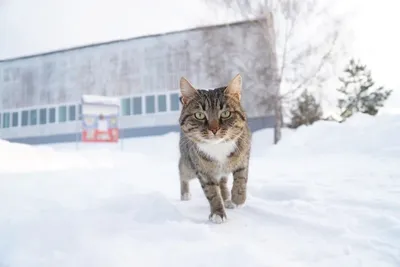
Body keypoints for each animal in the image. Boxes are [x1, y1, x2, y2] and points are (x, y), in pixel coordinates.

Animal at [179, 74, 252, 225]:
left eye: (226, 113)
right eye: (199, 115)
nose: (214, 129)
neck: (218, 146)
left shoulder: (244, 153)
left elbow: (241, 177)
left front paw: (238, 198)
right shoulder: (203, 170)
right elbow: (212, 192)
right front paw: (218, 213)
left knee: (223, 181)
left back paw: (227, 199)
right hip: (188, 164)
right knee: (182, 171)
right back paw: (185, 193)